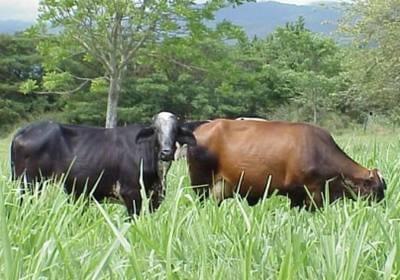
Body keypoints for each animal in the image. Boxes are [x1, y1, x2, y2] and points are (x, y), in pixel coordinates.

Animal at [10, 111, 196, 214]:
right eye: (156, 130)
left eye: (175, 130)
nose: (166, 152)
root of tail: (24, 130)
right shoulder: (130, 193)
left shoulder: (156, 197)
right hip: (29, 184)